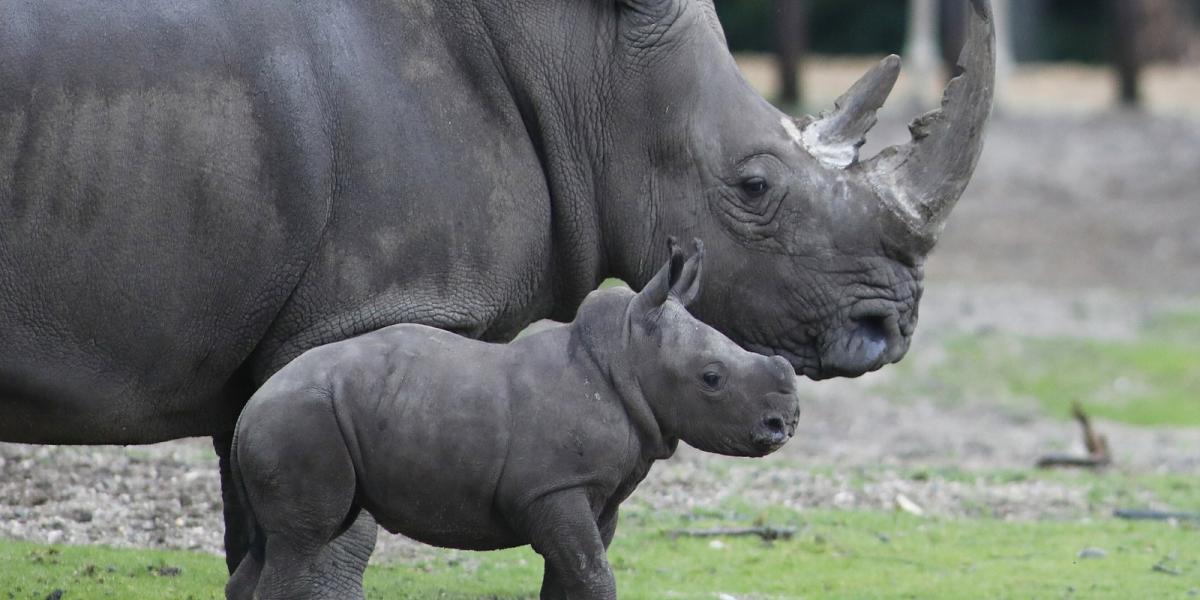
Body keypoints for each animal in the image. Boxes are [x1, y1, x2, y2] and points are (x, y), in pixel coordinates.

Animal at [229, 240, 801, 600]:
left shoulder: (591, 493)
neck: (627, 354)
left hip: (301, 416)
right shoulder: (553, 488)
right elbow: (595, 575)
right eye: (712, 378)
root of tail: (247, 410)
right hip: (301, 417)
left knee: (277, 543)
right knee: (304, 542)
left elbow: (573, 579)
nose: (785, 424)